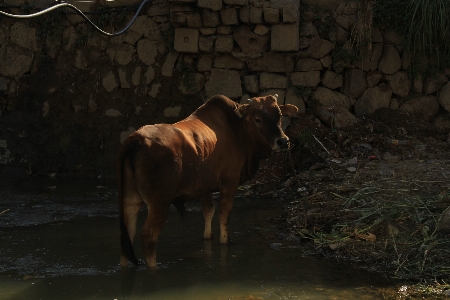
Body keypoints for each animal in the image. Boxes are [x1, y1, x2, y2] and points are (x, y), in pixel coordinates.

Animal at [118, 94, 298, 268]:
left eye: (279, 115)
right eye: (257, 119)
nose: (283, 141)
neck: (237, 129)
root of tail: (136, 139)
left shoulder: (205, 187)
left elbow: (208, 211)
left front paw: (208, 236)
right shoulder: (229, 182)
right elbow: (224, 214)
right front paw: (225, 240)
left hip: (130, 200)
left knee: (127, 236)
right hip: (159, 202)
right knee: (149, 236)